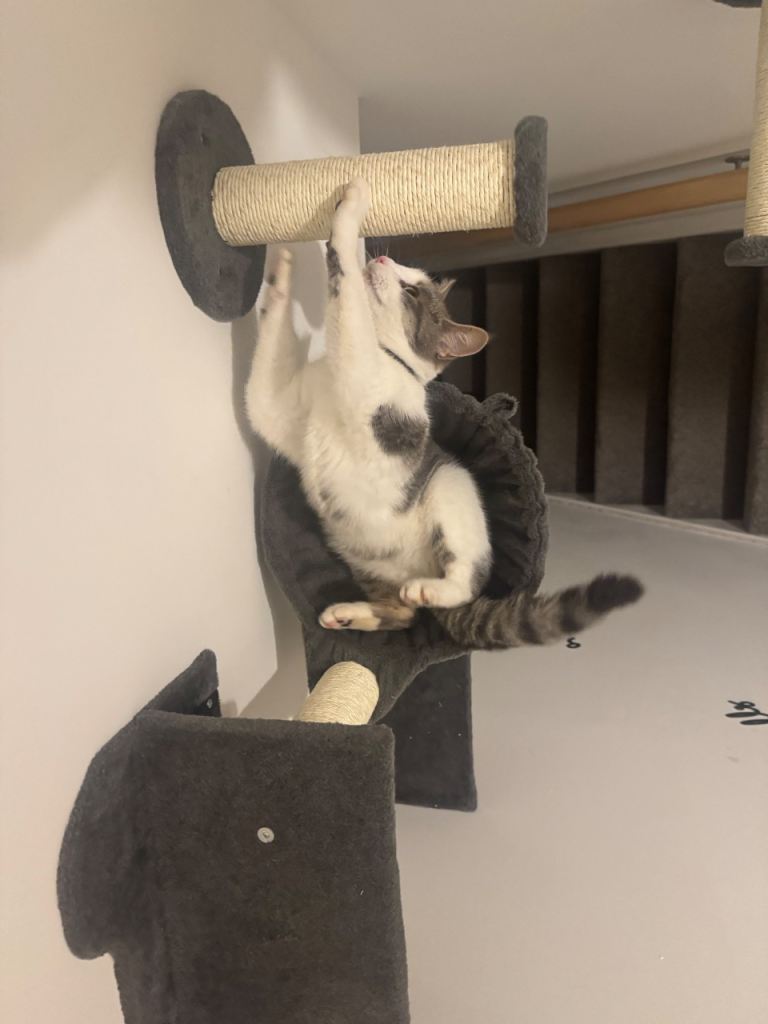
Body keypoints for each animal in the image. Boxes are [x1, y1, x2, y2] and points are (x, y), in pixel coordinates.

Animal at [244, 178, 642, 648]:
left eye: (412, 292)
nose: (381, 256)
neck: (388, 360)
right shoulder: (278, 412)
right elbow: (265, 375)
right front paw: (280, 274)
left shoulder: (358, 363)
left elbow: (345, 292)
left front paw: (351, 206)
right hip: (360, 555)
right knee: (402, 615)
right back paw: (350, 614)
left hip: (450, 486)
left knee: (460, 582)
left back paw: (432, 590)